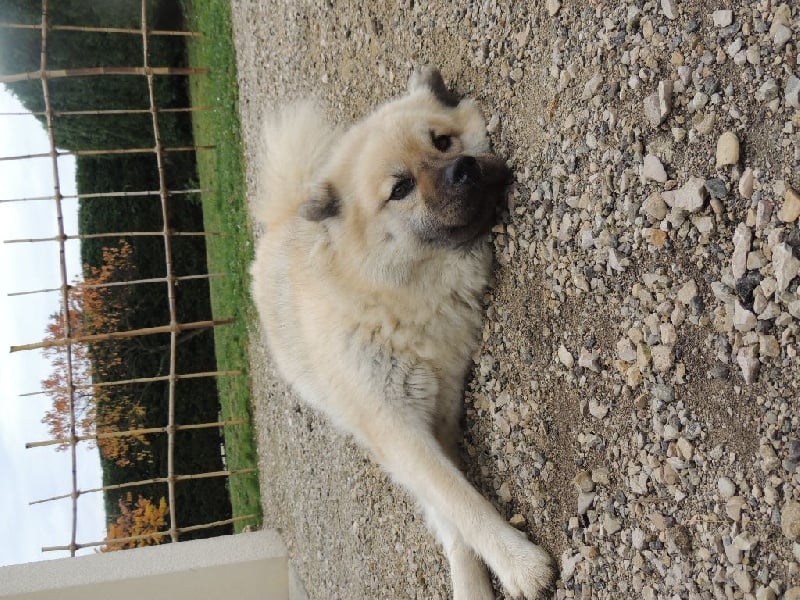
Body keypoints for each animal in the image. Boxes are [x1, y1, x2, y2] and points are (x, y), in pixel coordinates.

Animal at [250, 67, 556, 599]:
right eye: (400, 188)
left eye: (443, 141)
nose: (465, 170)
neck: (387, 299)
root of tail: (283, 217)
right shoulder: (398, 429)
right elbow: (462, 504)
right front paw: (520, 564)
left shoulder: (439, 414)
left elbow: (455, 505)